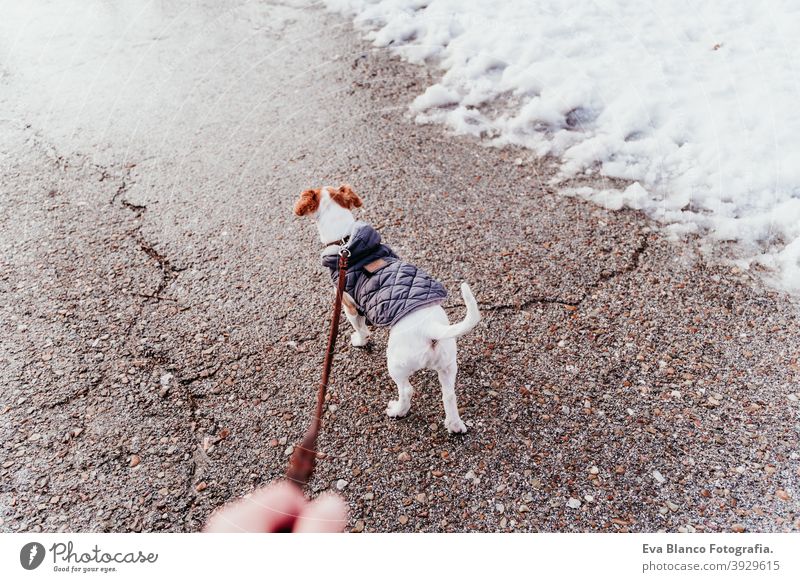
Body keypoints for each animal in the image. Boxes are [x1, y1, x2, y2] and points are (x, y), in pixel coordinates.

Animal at [296, 186, 478, 434]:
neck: (346, 240)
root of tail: (431, 328)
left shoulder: (348, 304)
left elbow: (360, 328)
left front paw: (359, 341)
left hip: (397, 363)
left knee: (407, 390)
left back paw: (397, 411)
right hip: (448, 366)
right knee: (449, 396)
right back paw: (455, 425)